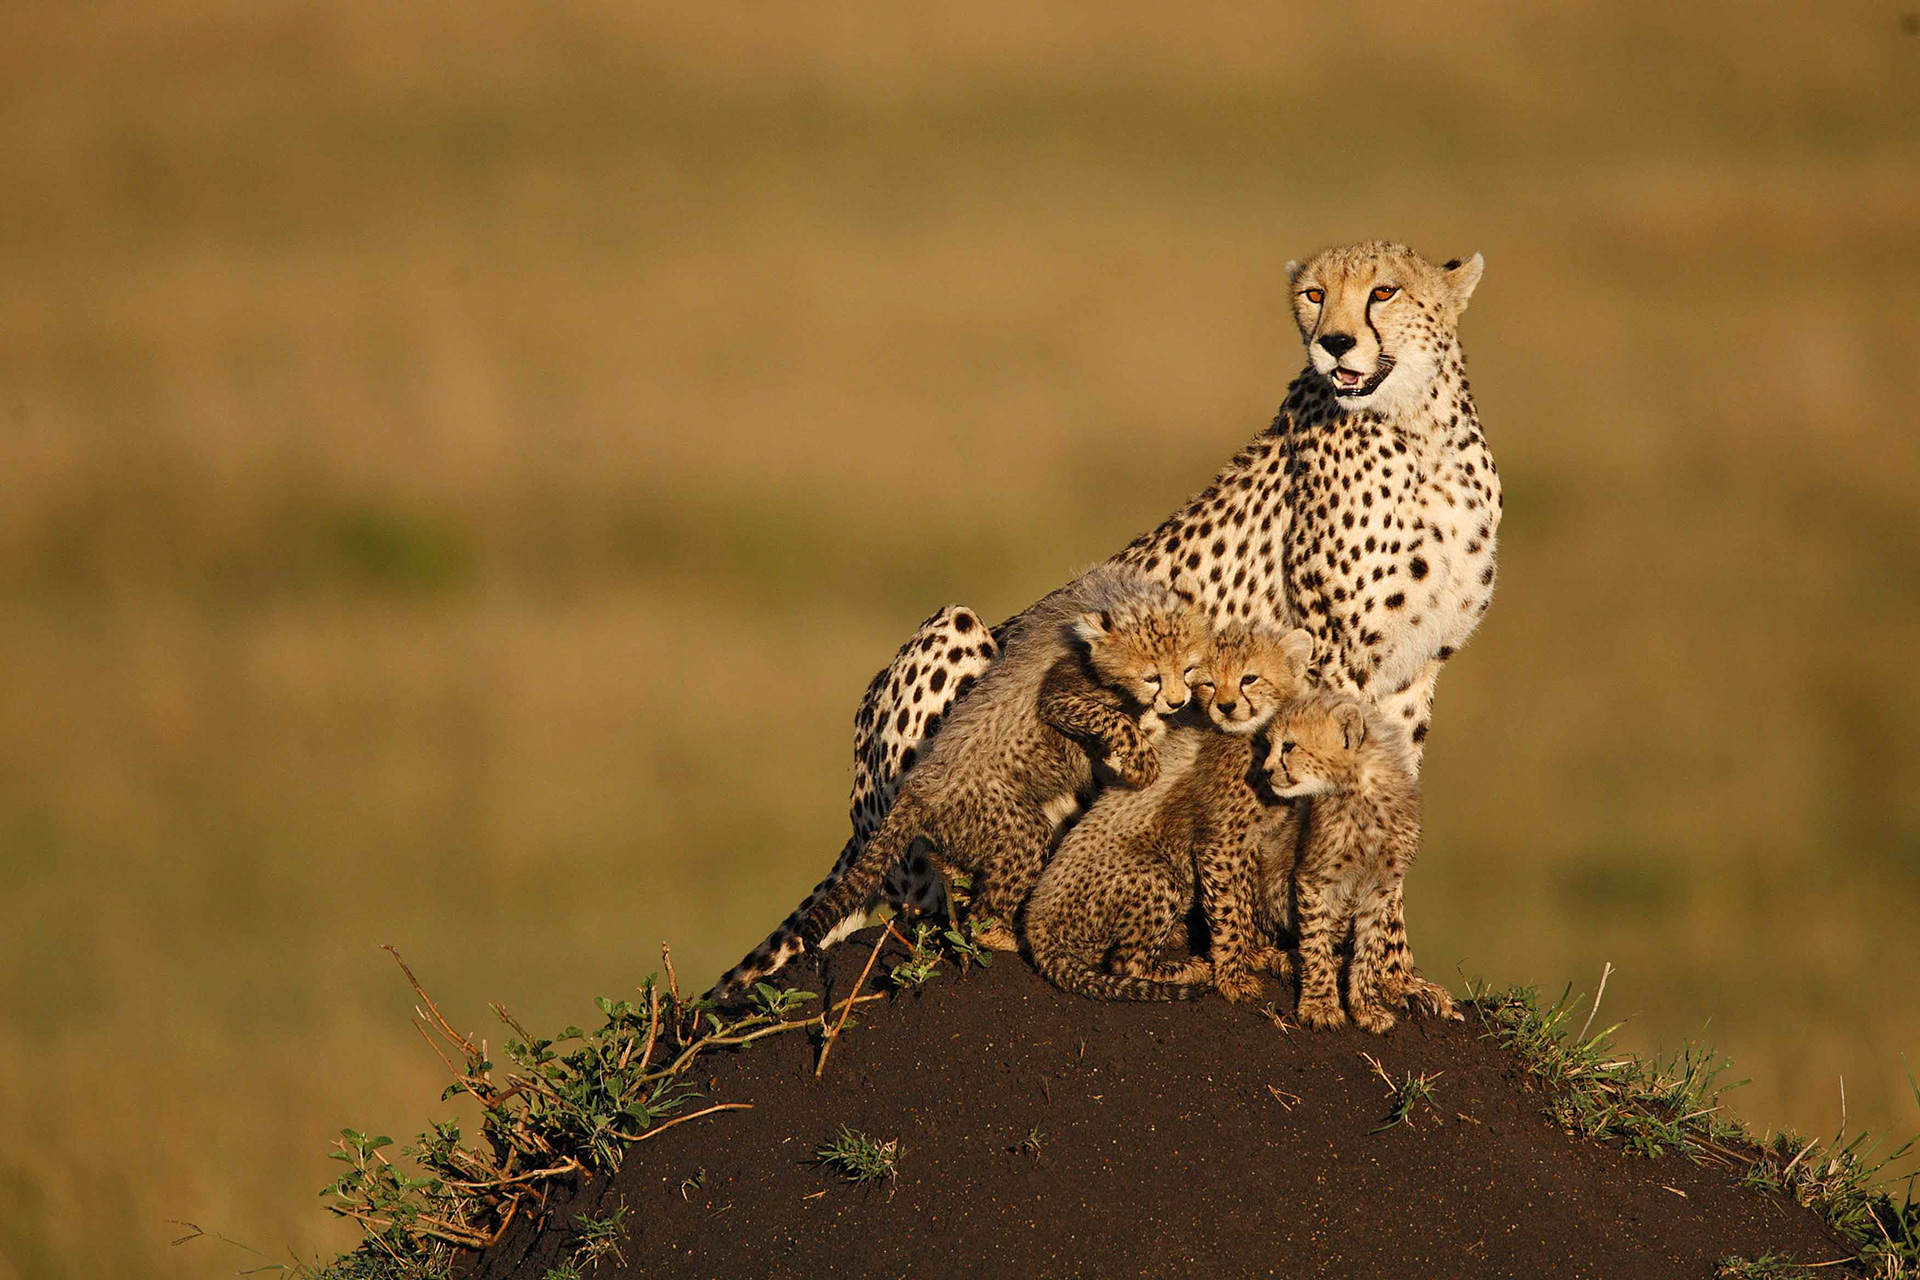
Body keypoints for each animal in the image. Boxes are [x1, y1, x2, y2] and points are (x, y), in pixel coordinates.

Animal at [706, 568, 1205, 999]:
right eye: (1152, 675)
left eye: (1189, 668)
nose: (1177, 700)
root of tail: (915, 790)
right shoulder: (1061, 693)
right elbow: (1110, 720)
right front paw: (1142, 761)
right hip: (1002, 818)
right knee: (984, 905)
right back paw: (1003, 936)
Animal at [1024, 624, 1314, 1004]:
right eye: (1208, 683)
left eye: (1249, 678)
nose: (1226, 707)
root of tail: (1035, 923)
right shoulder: (1217, 846)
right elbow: (1228, 912)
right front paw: (1233, 977)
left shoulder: (1251, 843)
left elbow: (1244, 902)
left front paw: (1252, 953)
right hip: (1161, 875)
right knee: (1127, 964)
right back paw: (1187, 969)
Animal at [1264, 690, 1460, 1033]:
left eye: (1288, 746)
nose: (1266, 771)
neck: (1361, 789)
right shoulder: (1315, 878)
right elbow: (1316, 942)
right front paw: (1321, 1005)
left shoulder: (1381, 886)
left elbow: (1371, 947)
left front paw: (1367, 1008)